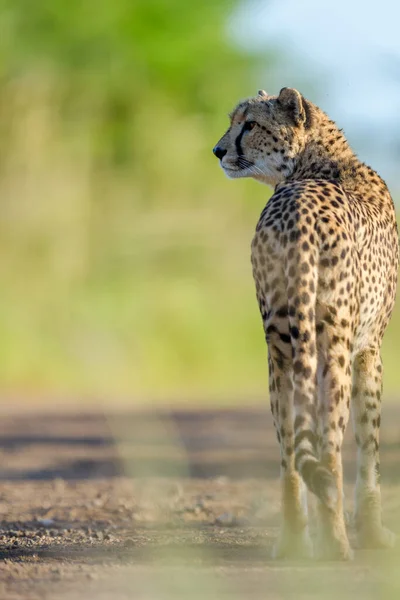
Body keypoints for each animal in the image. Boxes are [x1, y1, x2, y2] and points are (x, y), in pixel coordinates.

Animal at [212, 86, 396, 560]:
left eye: (250, 124)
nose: (218, 150)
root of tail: (296, 208)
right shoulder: (369, 350)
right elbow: (369, 448)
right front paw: (374, 535)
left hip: (279, 346)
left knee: (290, 449)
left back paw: (295, 540)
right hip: (332, 345)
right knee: (329, 445)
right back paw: (336, 544)